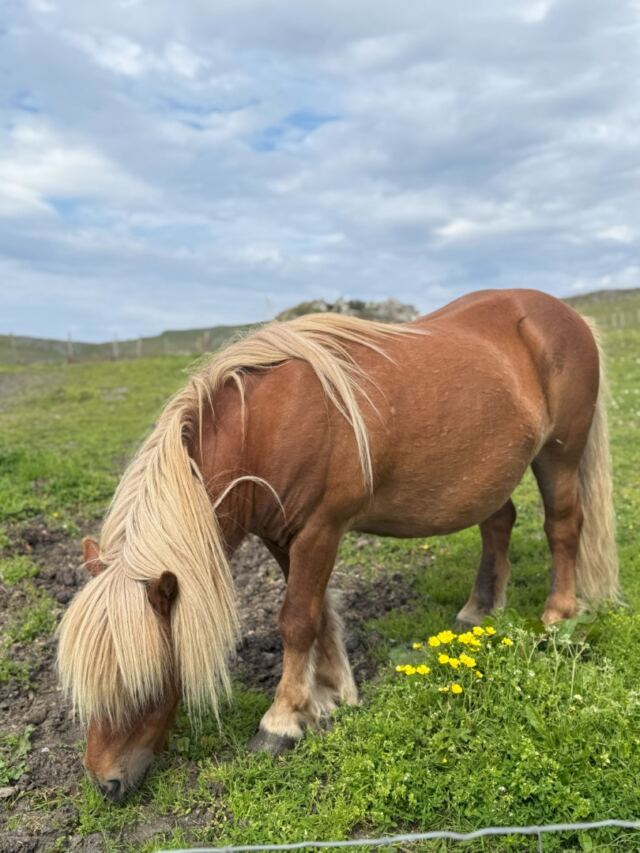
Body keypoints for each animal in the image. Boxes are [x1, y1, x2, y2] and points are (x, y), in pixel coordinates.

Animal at [57, 288, 619, 801]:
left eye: (147, 681)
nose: (107, 783)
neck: (266, 427)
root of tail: (567, 316)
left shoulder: (321, 530)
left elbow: (297, 620)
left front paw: (282, 721)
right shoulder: (282, 537)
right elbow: (318, 615)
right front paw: (330, 695)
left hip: (559, 455)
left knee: (563, 526)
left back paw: (557, 616)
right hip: (489, 476)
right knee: (499, 524)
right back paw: (478, 610)